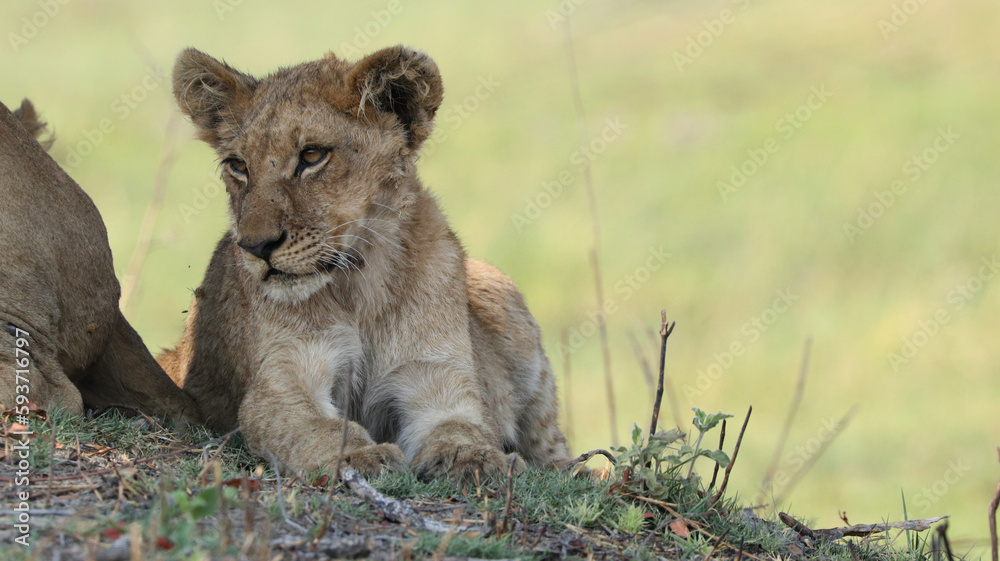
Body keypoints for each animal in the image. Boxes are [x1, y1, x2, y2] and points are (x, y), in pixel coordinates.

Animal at [159, 46, 575, 479]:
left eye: (312, 155)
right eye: (238, 166)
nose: (256, 247)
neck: (358, 284)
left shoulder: (436, 378)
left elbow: (460, 427)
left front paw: (476, 460)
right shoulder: (282, 383)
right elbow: (319, 428)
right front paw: (360, 458)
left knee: (552, 446)